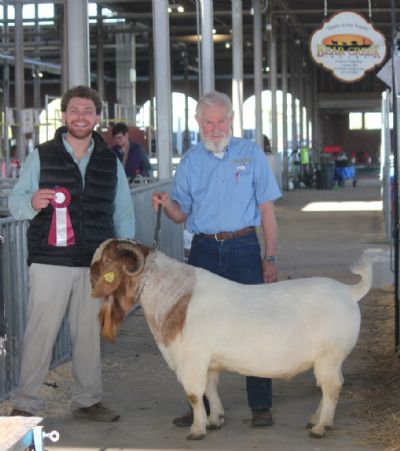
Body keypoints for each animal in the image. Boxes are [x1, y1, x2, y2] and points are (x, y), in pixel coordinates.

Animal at [90, 240, 372, 442]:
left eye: (107, 261)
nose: (91, 282)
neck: (176, 298)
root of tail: (349, 292)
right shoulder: (209, 362)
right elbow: (210, 388)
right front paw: (214, 420)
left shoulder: (192, 360)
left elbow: (194, 395)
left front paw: (197, 430)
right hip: (331, 360)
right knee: (332, 386)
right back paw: (316, 419)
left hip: (329, 355)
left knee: (332, 387)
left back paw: (320, 427)